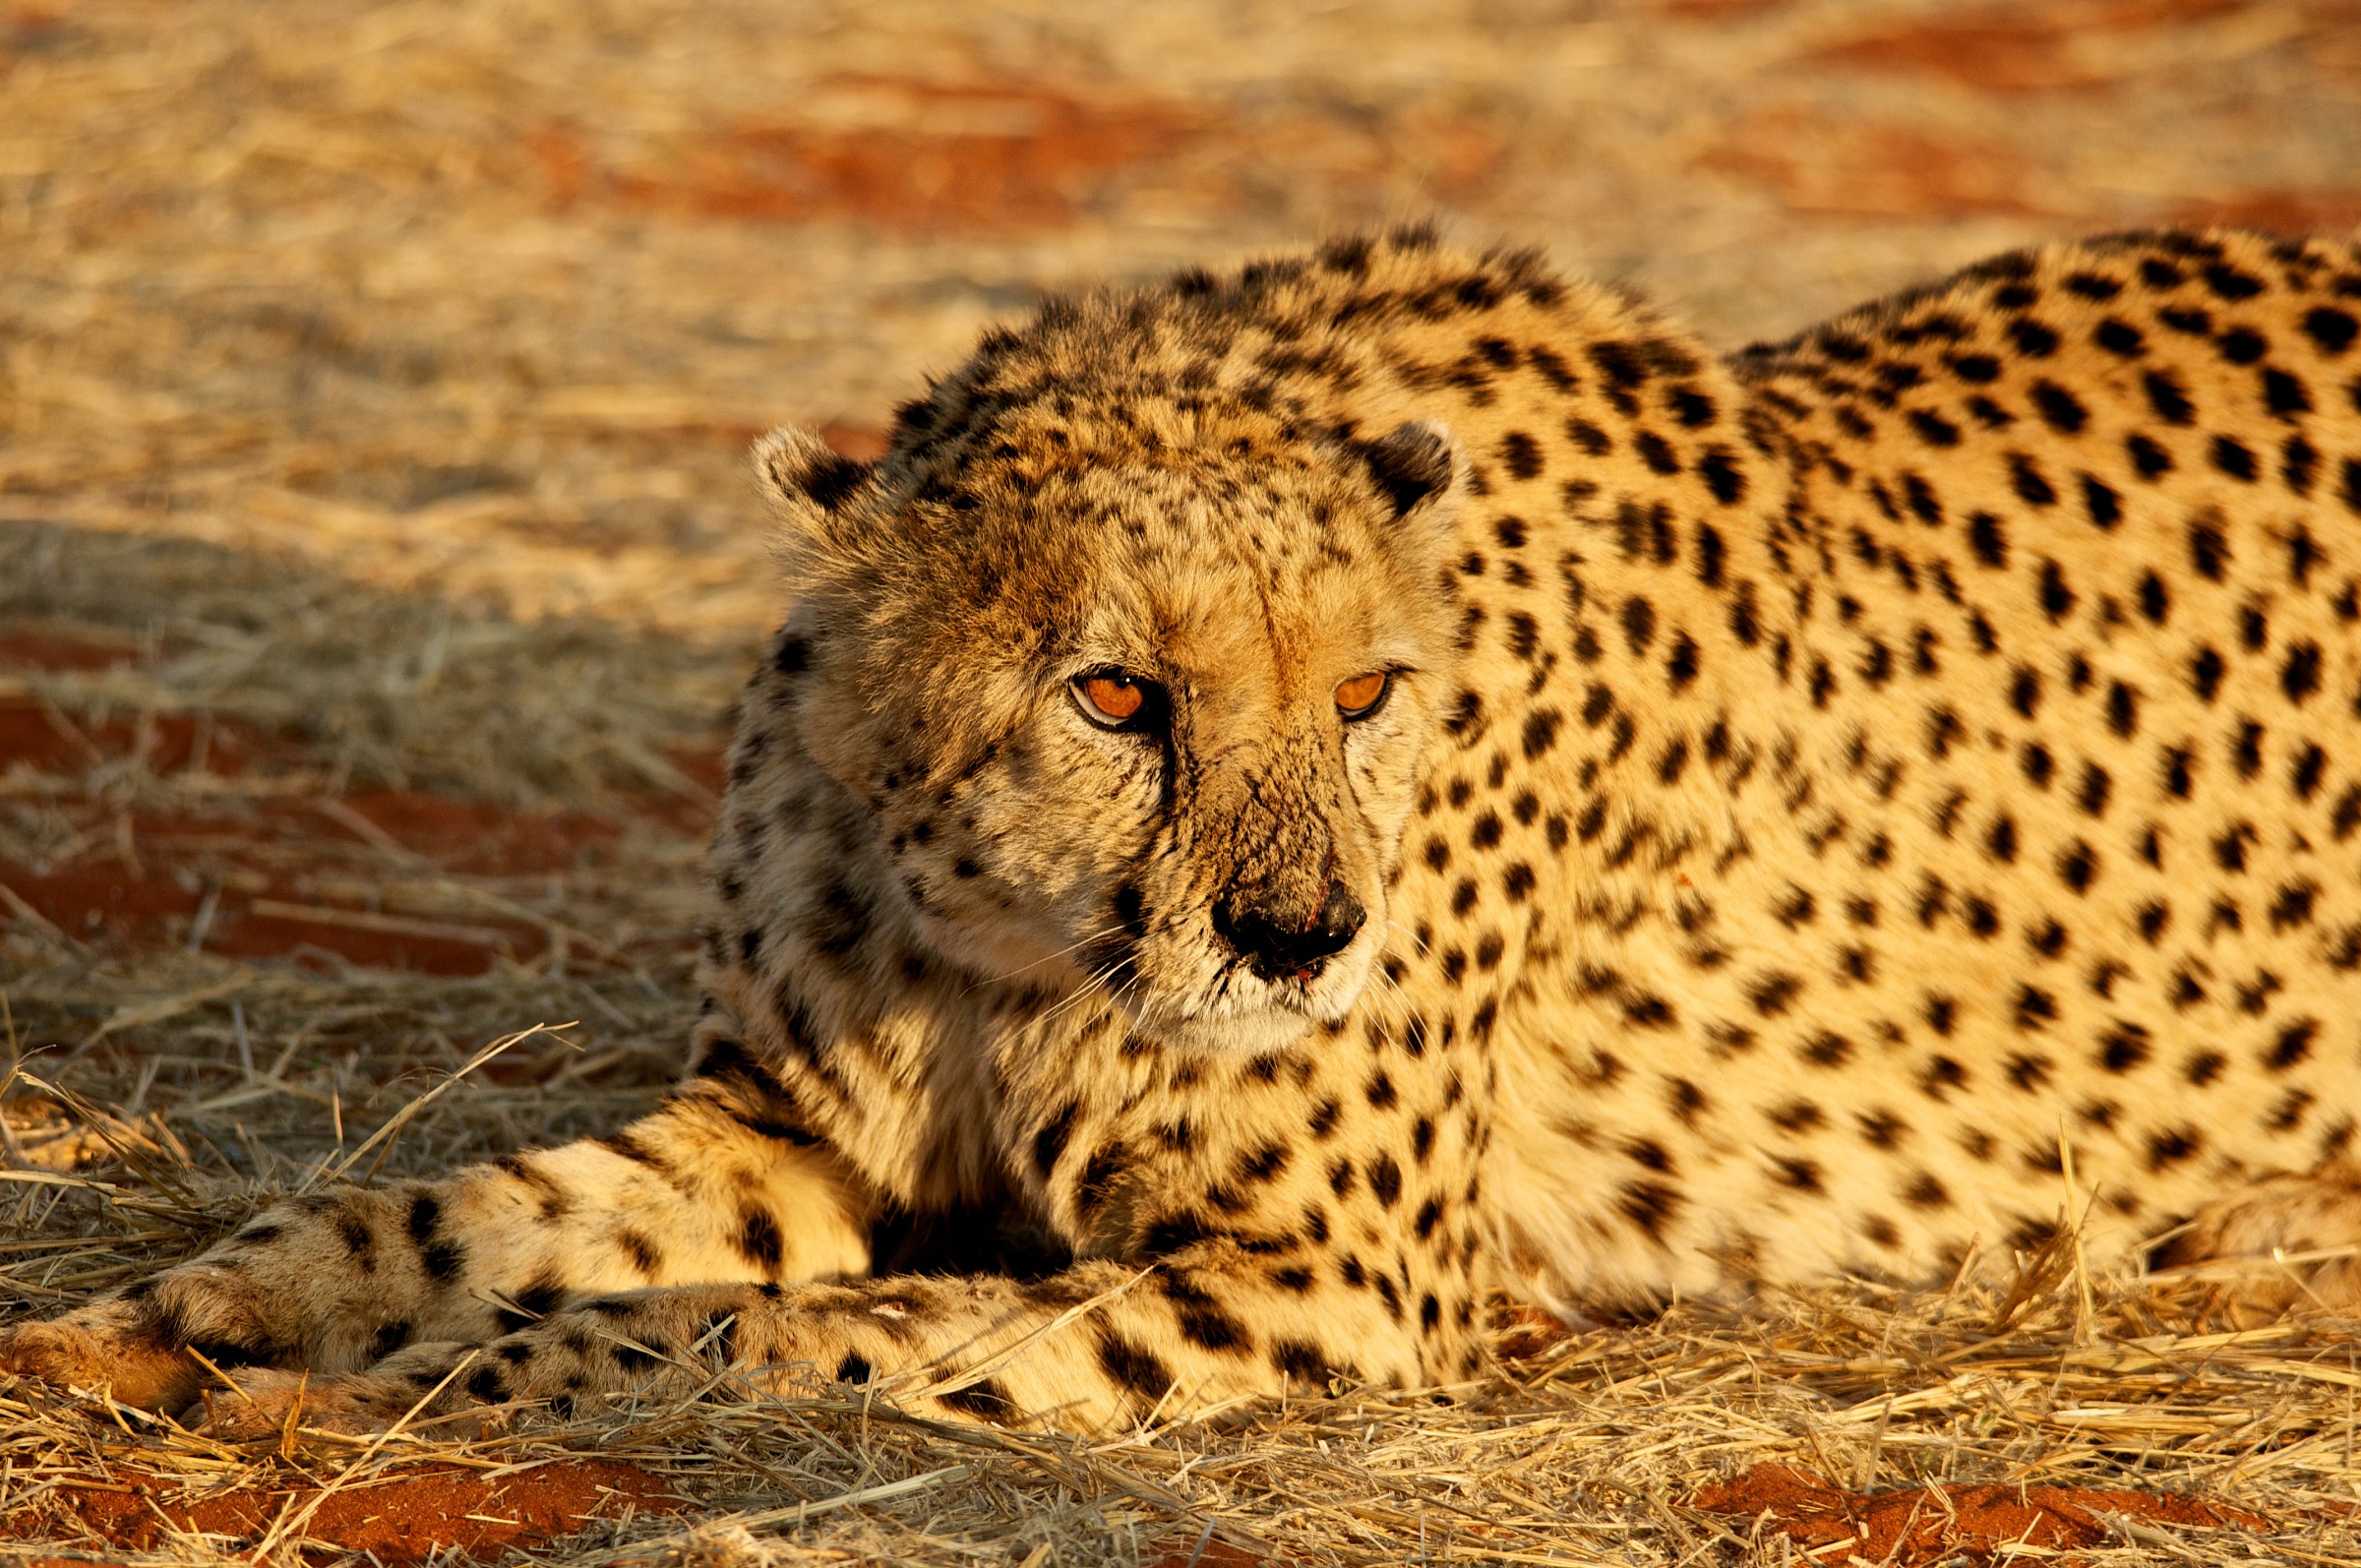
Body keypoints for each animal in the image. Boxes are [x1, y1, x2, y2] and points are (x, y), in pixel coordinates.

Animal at [8, 224, 2361, 1440]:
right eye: (1119, 693)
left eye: (1366, 695)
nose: (1303, 938)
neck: (995, 927)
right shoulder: (780, 1134)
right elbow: (432, 1212)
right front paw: (171, 1318)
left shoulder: (1330, 1279)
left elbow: (791, 1333)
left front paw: (413, 1390)